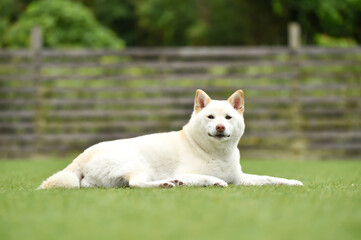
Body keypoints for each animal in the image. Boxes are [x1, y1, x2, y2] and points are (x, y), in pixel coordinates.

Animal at [39, 89, 302, 188]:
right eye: (210, 117)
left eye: (228, 117)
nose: (219, 127)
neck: (213, 152)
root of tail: (82, 156)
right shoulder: (189, 172)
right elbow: (207, 178)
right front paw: (214, 181)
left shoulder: (241, 178)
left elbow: (269, 178)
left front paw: (290, 182)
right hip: (138, 164)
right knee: (137, 184)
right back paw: (168, 184)